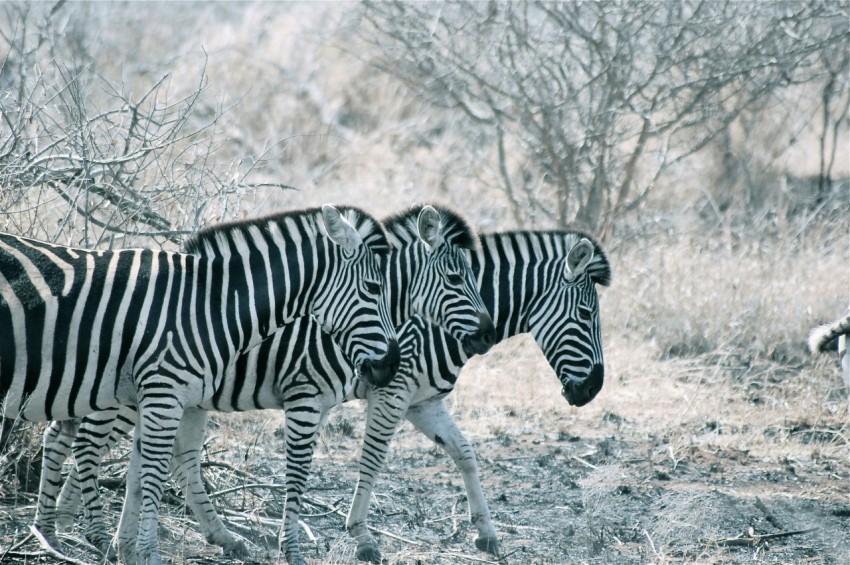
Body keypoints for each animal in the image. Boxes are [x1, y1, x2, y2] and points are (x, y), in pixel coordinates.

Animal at [34, 205, 496, 564]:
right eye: (456, 280)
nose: (487, 336)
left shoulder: (380, 401)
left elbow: (462, 450)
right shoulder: (311, 395)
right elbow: (315, 469)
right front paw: (320, 545)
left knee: (86, 441)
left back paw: (60, 528)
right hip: (124, 397)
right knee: (85, 444)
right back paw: (83, 533)